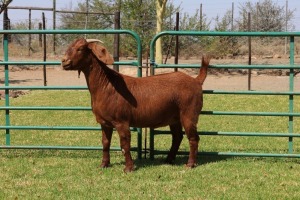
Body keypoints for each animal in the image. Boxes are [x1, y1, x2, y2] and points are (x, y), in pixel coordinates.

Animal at [61, 38, 211, 172]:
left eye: (80, 48)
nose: (64, 61)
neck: (107, 85)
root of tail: (196, 80)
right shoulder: (104, 123)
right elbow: (105, 143)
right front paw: (104, 164)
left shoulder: (121, 121)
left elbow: (125, 144)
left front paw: (128, 168)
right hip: (174, 117)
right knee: (177, 136)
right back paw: (168, 160)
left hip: (189, 113)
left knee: (193, 138)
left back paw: (190, 164)